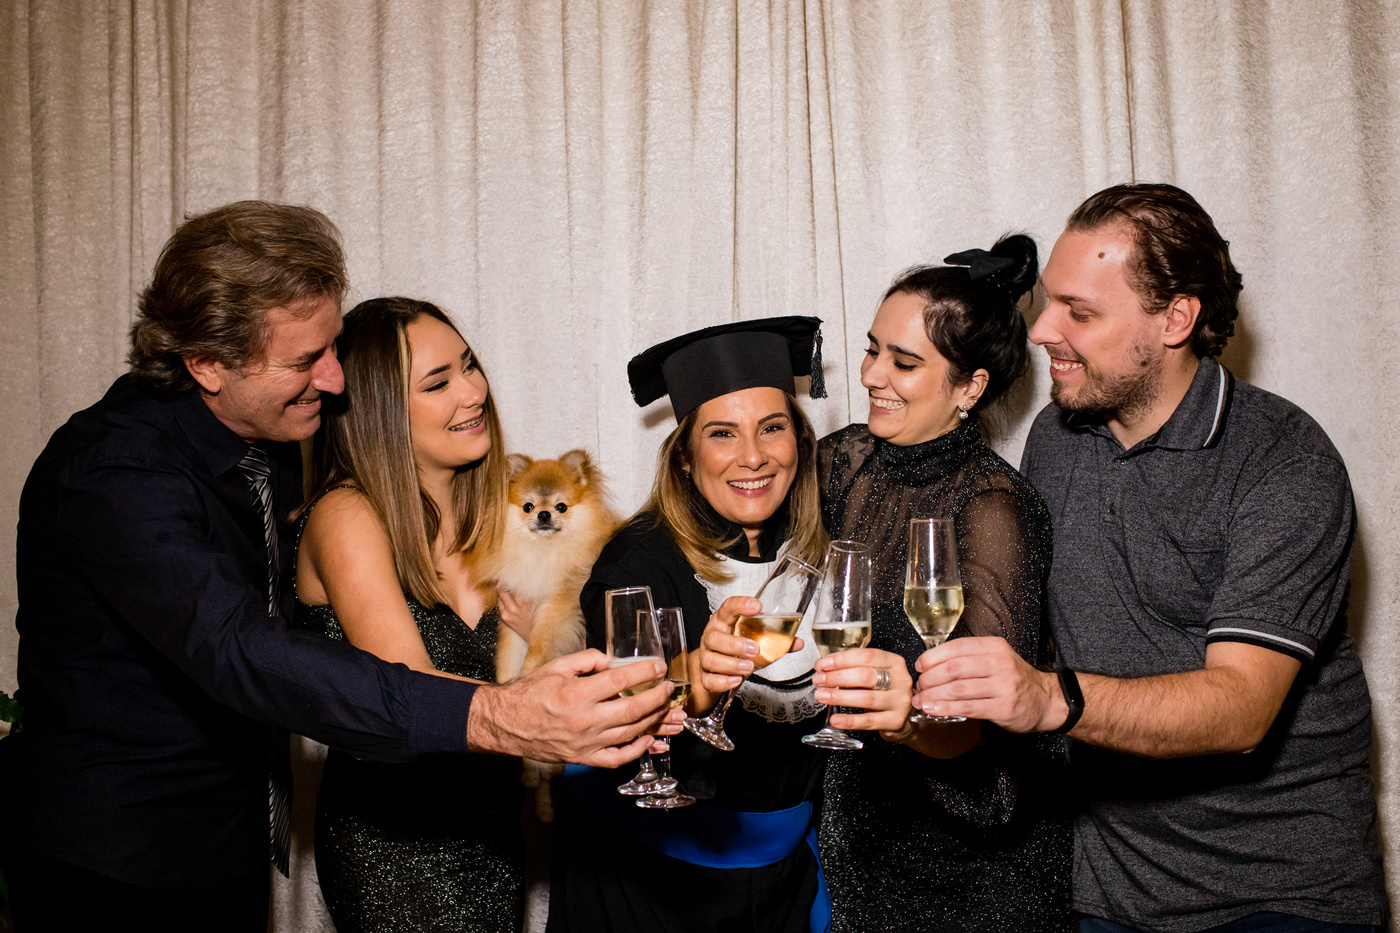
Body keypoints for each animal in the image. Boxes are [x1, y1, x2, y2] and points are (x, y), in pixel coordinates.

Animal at [467, 449, 619, 819]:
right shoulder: (512, 613)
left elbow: (538, 645)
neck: (542, 552)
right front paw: (510, 685)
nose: (545, 514)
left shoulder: (559, 604)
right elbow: (508, 660)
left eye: (561, 506)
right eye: (528, 506)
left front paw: (529, 671)